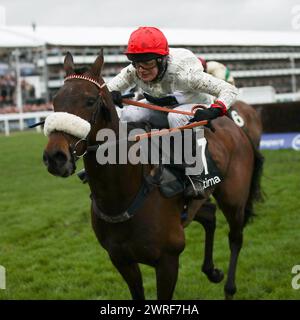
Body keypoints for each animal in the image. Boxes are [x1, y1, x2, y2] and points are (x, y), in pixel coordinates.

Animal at [42, 52, 262, 300]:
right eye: (55, 101)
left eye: (89, 101)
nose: (55, 157)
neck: (122, 195)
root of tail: (237, 128)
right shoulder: (122, 260)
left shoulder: (168, 260)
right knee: (209, 214)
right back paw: (212, 271)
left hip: (234, 198)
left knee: (235, 237)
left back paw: (229, 288)